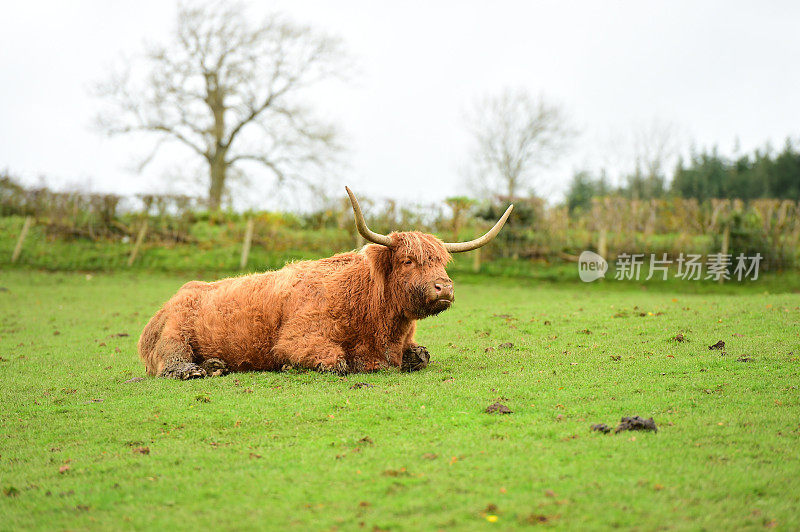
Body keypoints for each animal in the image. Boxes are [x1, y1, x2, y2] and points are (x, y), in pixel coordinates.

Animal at [138, 187, 512, 378]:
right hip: (175, 335)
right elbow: (336, 362)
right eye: (408, 260)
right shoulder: (297, 339)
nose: (444, 288)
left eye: (442, 262)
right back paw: (198, 370)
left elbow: (422, 355)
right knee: (169, 363)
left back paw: (217, 365)